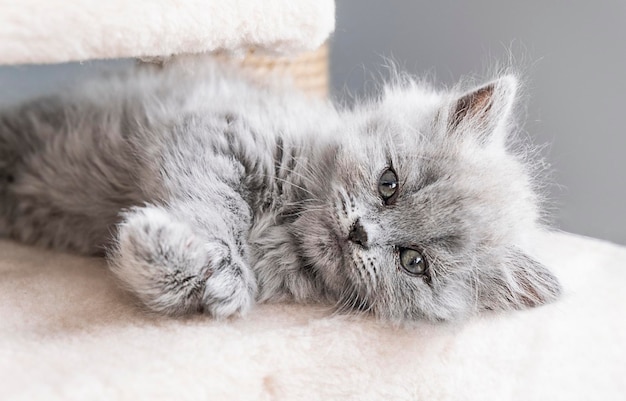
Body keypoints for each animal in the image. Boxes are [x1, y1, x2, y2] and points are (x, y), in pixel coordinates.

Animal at [0, 61, 560, 320]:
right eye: (389, 184)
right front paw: (199, 252)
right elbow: (219, 209)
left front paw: (188, 268)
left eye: (413, 262)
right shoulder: (214, 132)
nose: (360, 233)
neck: (285, 220)